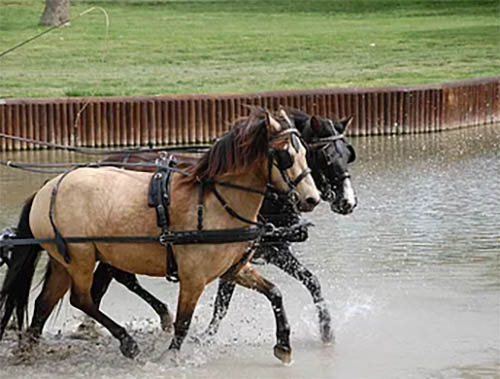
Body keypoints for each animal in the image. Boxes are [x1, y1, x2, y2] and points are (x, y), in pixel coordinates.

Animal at [0, 109, 320, 362]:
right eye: (285, 155)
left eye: (306, 152)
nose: (312, 199)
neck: (215, 201)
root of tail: (47, 188)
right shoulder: (193, 278)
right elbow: (183, 323)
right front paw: (171, 356)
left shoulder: (233, 269)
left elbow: (274, 293)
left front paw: (283, 343)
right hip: (81, 257)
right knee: (82, 299)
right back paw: (126, 341)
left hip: (62, 261)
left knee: (44, 304)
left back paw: (29, 350)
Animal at [88, 107, 358, 344]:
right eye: (326, 156)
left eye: (348, 155)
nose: (348, 202)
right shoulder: (244, 252)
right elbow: (222, 303)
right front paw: (205, 335)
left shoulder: (269, 250)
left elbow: (312, 281)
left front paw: (326, 329)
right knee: (107, 282)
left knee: (117, 279)